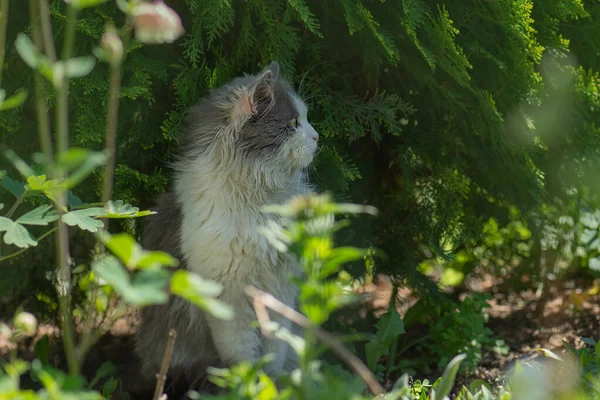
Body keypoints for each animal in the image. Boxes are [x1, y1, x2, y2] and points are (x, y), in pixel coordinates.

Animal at [135, 61, 318, 388]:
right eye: (294, 122)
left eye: (306, 119)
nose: (318, 137)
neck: (256, 201)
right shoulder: (228, 298)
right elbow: (243, 355)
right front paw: (250, 387)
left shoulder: (281, 289)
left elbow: (275, 348)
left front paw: (273, 384)